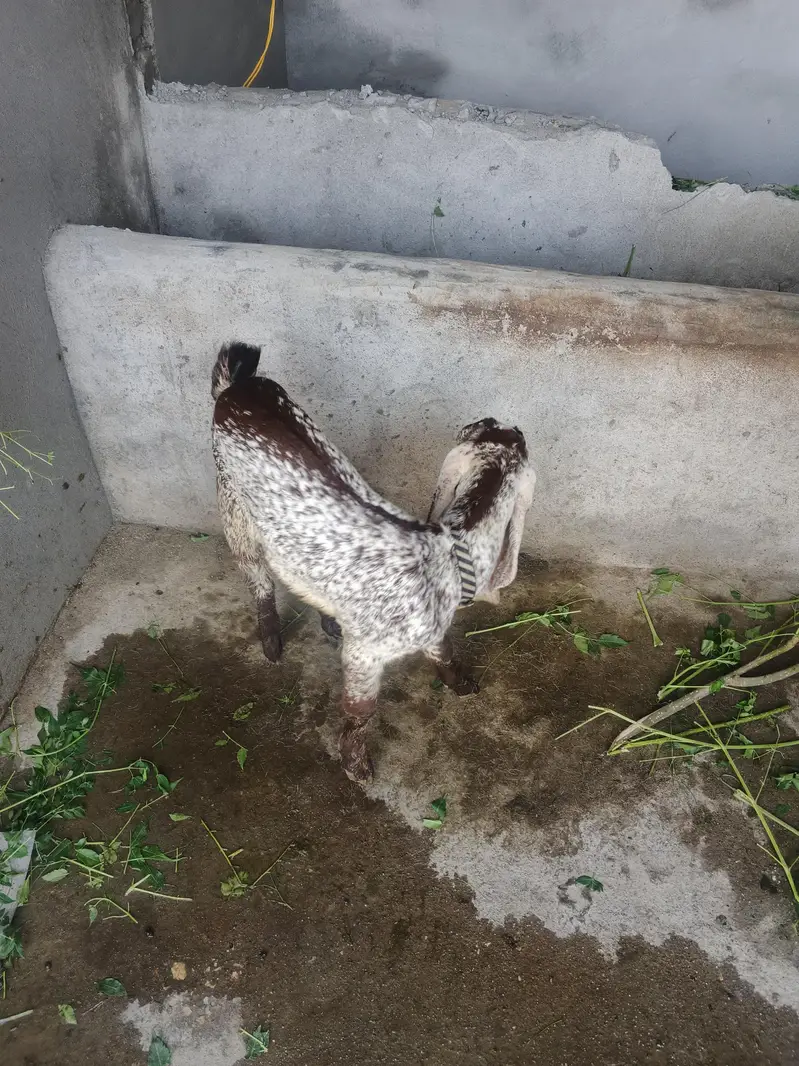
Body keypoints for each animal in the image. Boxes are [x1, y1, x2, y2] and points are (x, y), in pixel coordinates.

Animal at [211, 342, 535, 781]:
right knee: (258, 577)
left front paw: (461, 684)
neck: (449, 554)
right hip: (233, 507)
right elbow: (361, 710)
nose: (501, 422)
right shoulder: (366, 653)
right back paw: (272, 643)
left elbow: (444, 650)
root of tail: (235, 388)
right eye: (504, 432)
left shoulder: (428, 628)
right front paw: (355, 763)